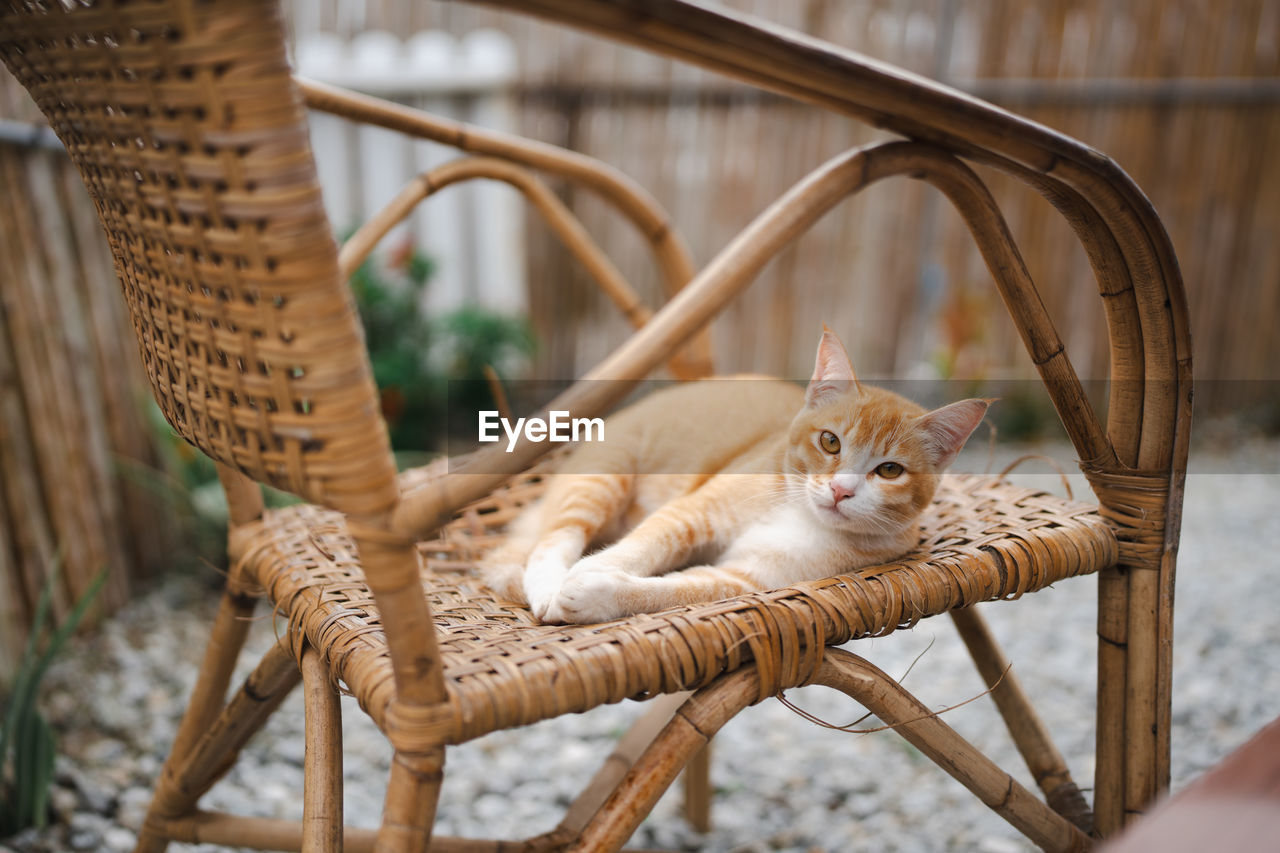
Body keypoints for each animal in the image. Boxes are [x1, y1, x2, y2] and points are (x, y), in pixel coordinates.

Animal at [481, 326, 988, 625]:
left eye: (889, 470)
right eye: (830, 442)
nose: (840, 490)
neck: (797, 513)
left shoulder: (748, 579)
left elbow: (674, 591)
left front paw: (596, 592)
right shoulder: (691, 512)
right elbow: (643, 545)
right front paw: (589, 571)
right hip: (603, 475)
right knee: (554, 538)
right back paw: (548, 584)